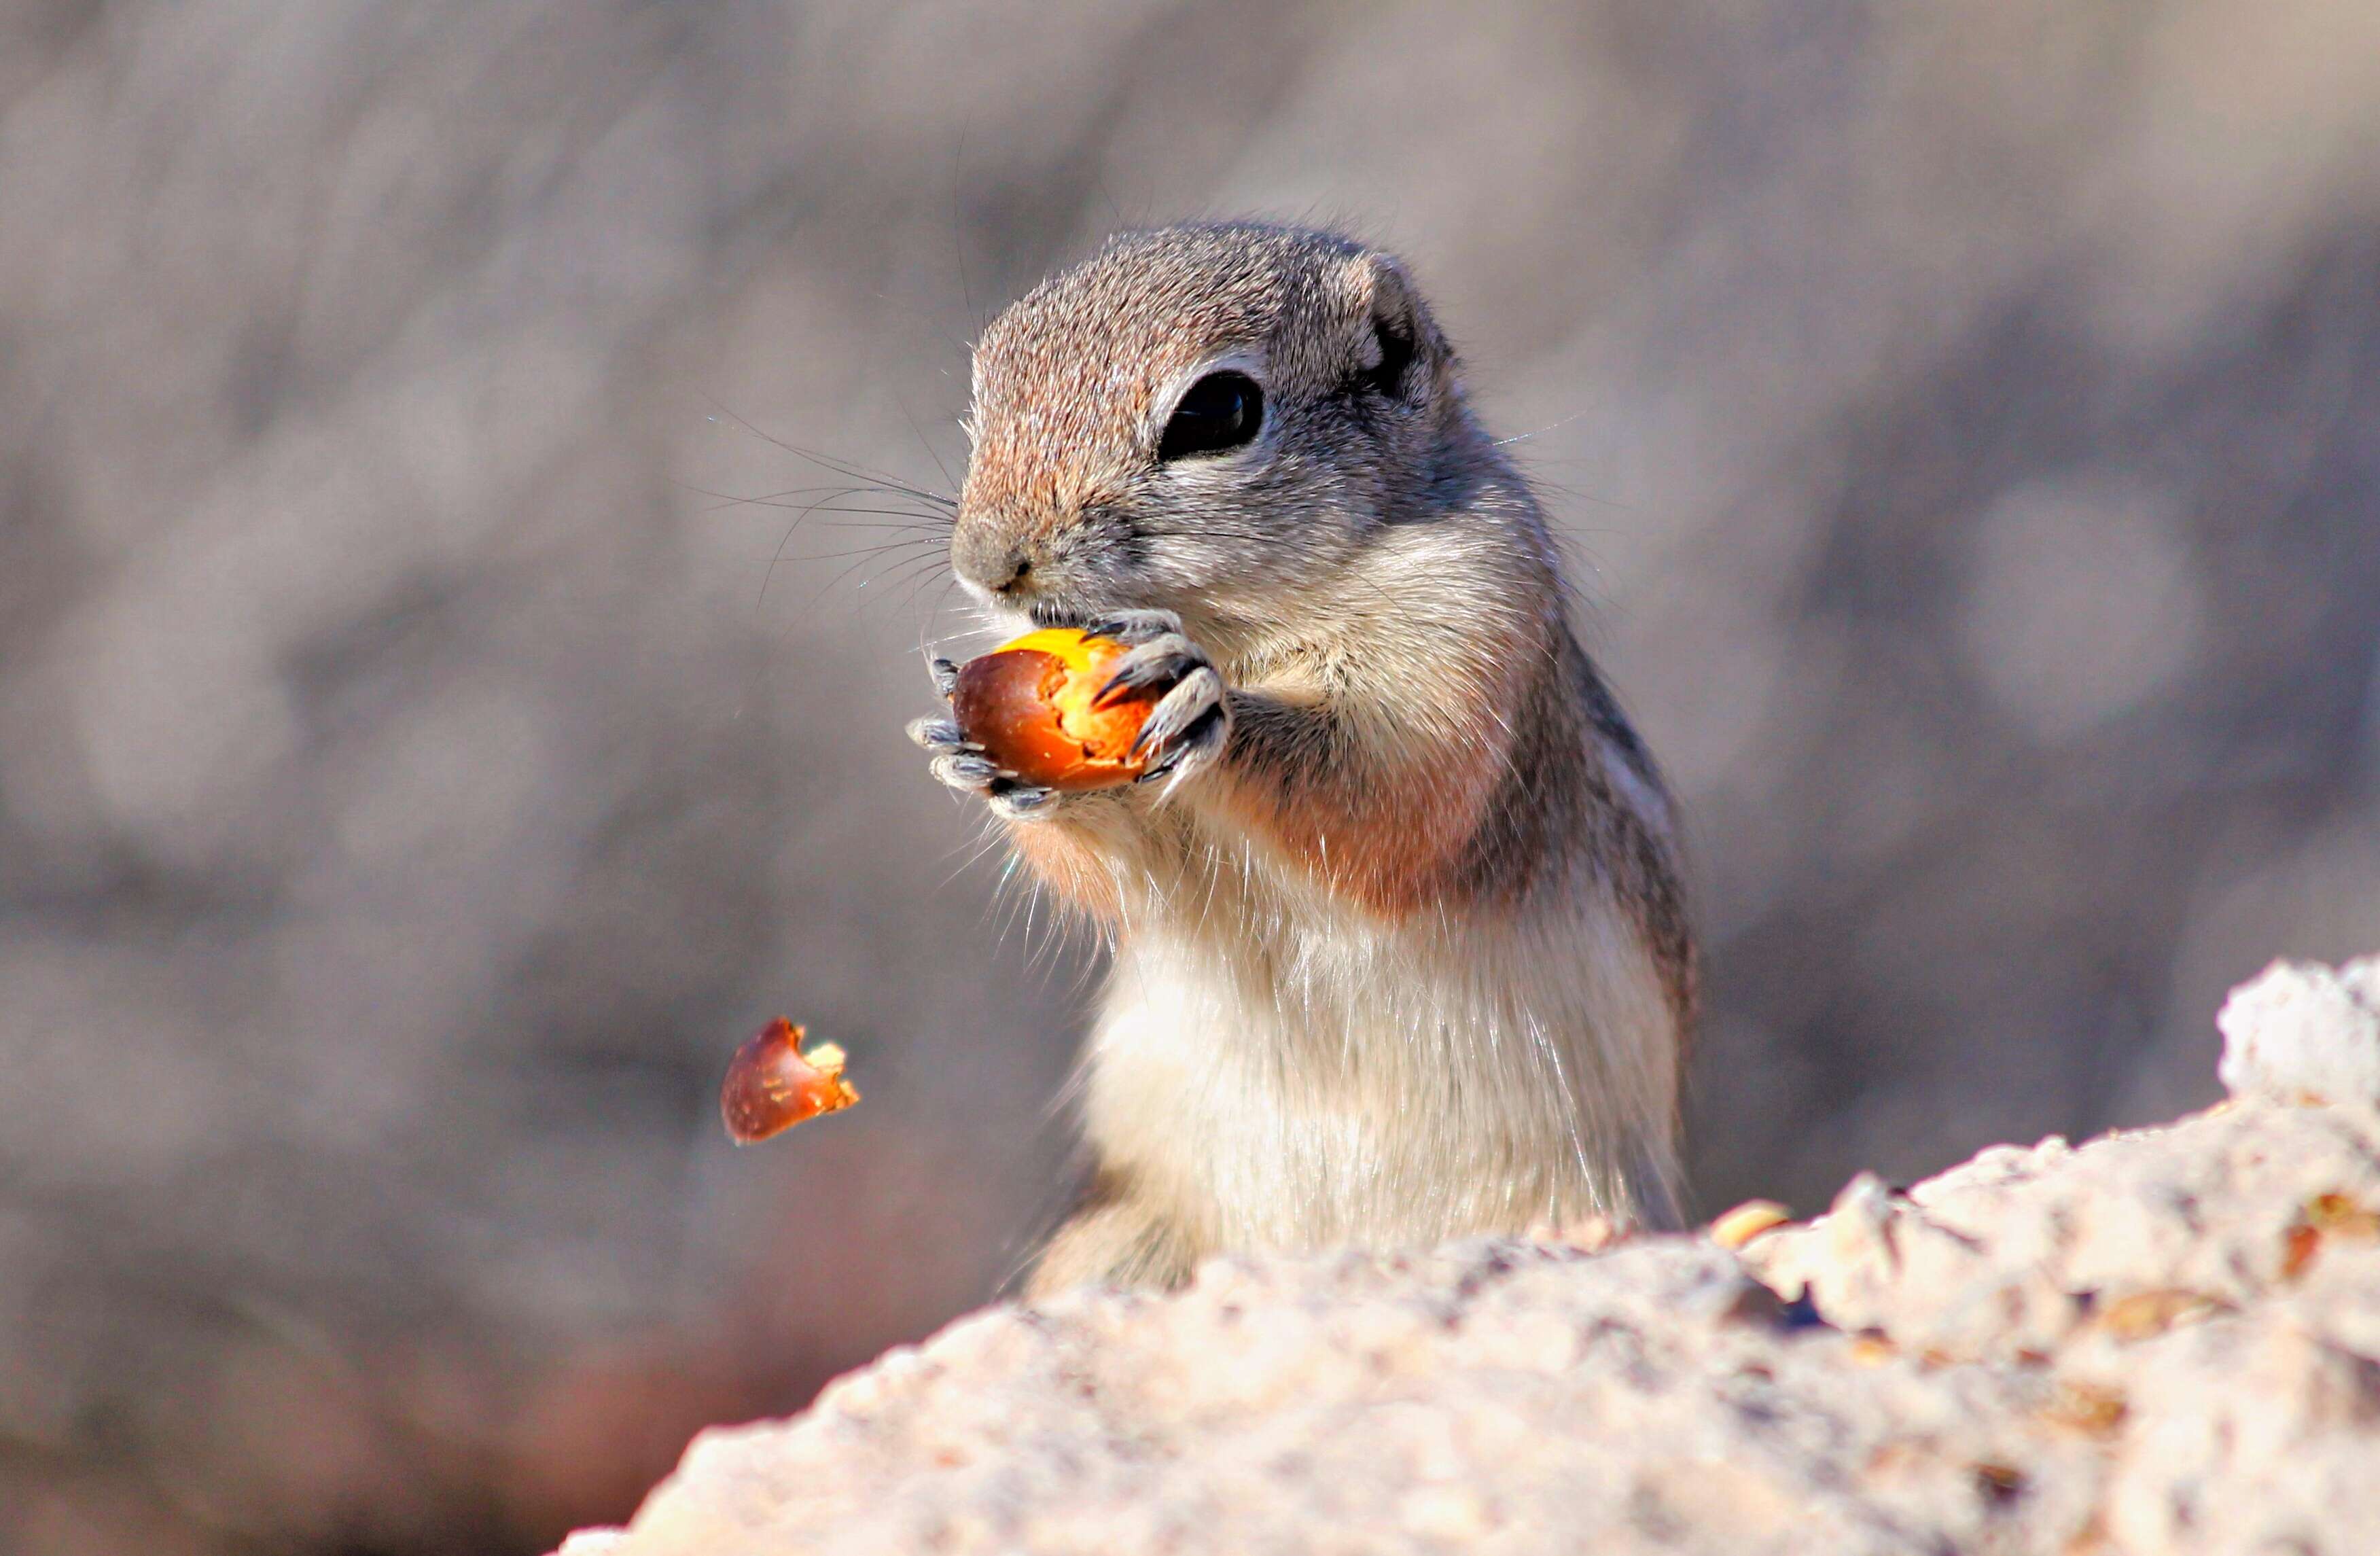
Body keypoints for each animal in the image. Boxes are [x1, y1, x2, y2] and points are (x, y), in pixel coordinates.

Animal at [900, 219, 1704, 1294]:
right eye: (983, 390)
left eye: (1217, 412)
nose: (987, 564)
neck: (1242, 620)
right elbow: (1115, 881)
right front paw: (974, 755)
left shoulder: (1472, 618)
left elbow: (1390, 792)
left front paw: (1203, 696)